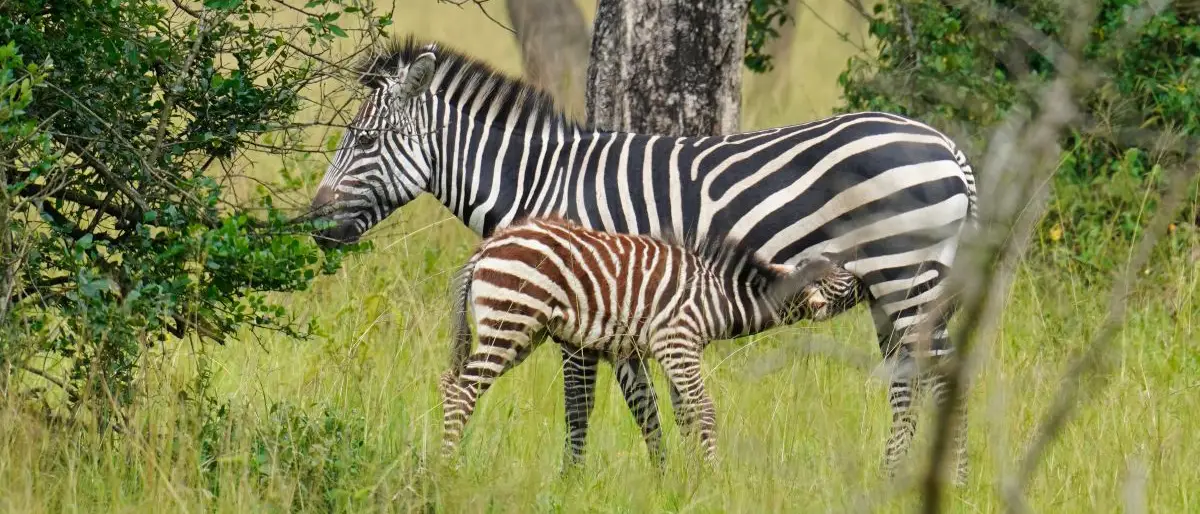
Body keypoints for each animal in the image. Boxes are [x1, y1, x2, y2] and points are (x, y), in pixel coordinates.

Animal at [438, 215, 839, 463]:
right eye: (839, 278)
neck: (717, 297)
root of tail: (487, 247)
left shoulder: (668, 351)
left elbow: (678, 414)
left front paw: (687, 481)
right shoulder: (676, 343)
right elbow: (703, 410)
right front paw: (713, 476)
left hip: (521, 332)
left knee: (450, 383)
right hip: (510, 319)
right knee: (464, 391)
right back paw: (447, 465)